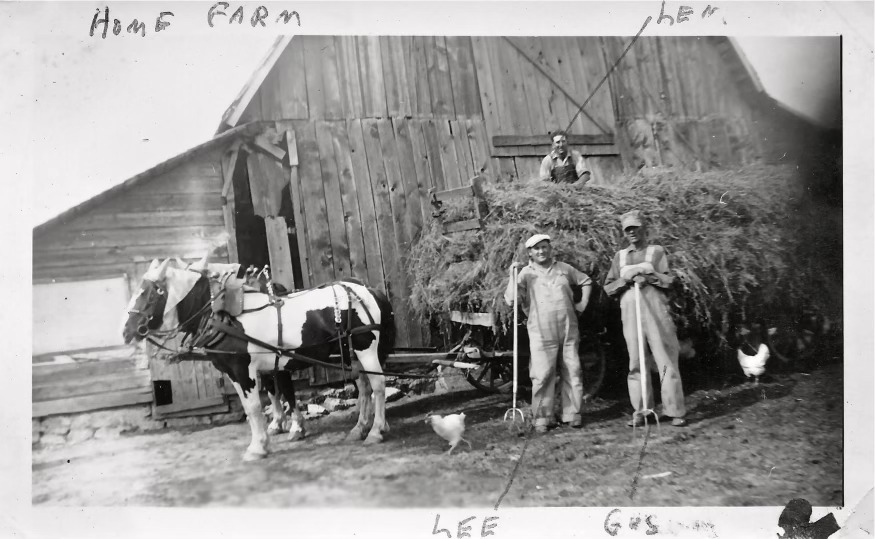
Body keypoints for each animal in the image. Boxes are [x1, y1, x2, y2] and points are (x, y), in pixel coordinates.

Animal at [123, 258, 396, 460]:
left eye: (149, 294)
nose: (126, 331)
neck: (223, 317)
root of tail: (366, 290)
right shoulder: (238, 372)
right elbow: (256, 404)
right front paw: (269, 436)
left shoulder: (244, 370)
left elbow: (255, 407)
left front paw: (258, 447)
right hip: (352, 354)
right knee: (364, 387)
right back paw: (360, 428)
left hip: (366, 349)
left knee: (378, 386)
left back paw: (375, 432)